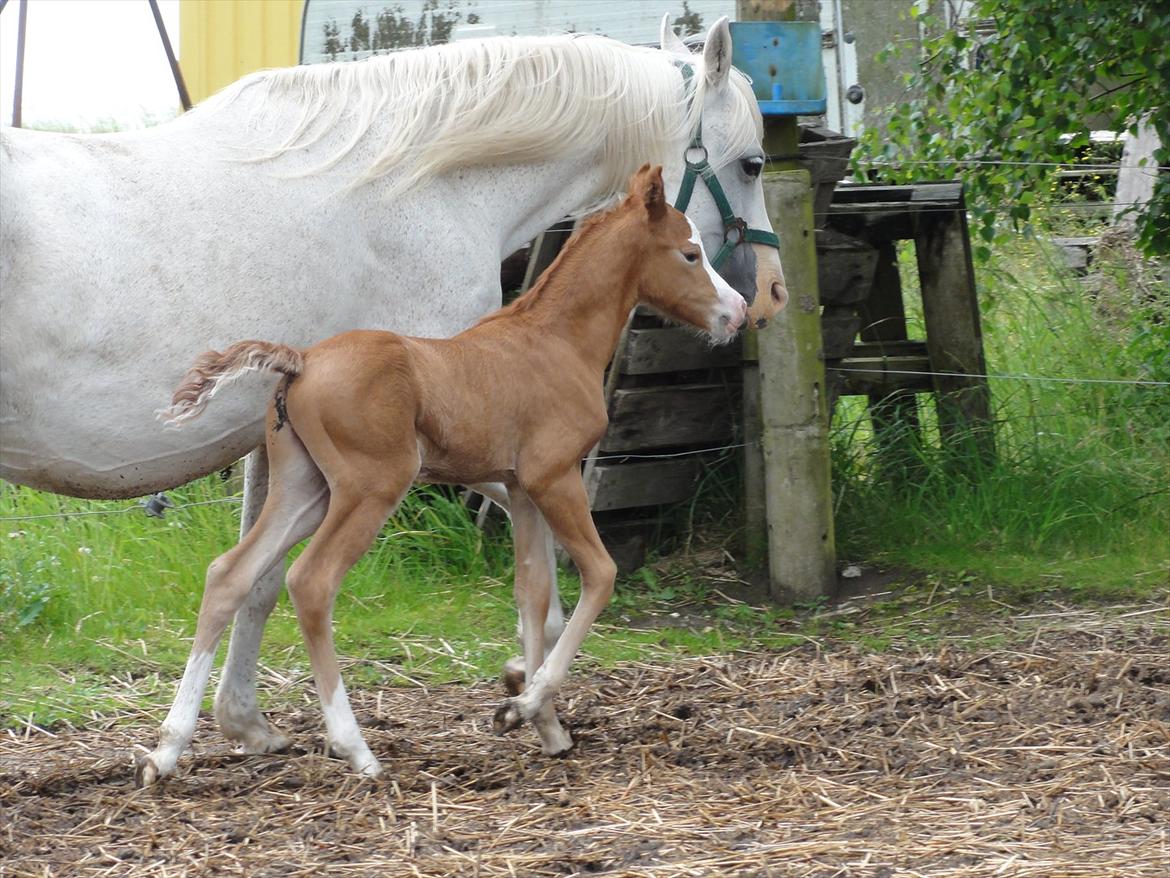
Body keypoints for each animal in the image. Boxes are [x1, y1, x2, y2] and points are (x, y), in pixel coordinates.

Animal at [138, 165, 747, 784]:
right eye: (691, 253)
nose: (738, 310)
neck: (556, 341)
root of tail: (300, 362)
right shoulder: (555, 477)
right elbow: (600, 574)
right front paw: (524, 705)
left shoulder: (521, 489)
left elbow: (533, 594)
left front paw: (544, 725)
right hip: (371, 488)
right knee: (311, 581)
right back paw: (356, 749)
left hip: (304, 489)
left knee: (230, 575)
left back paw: (167, 750)